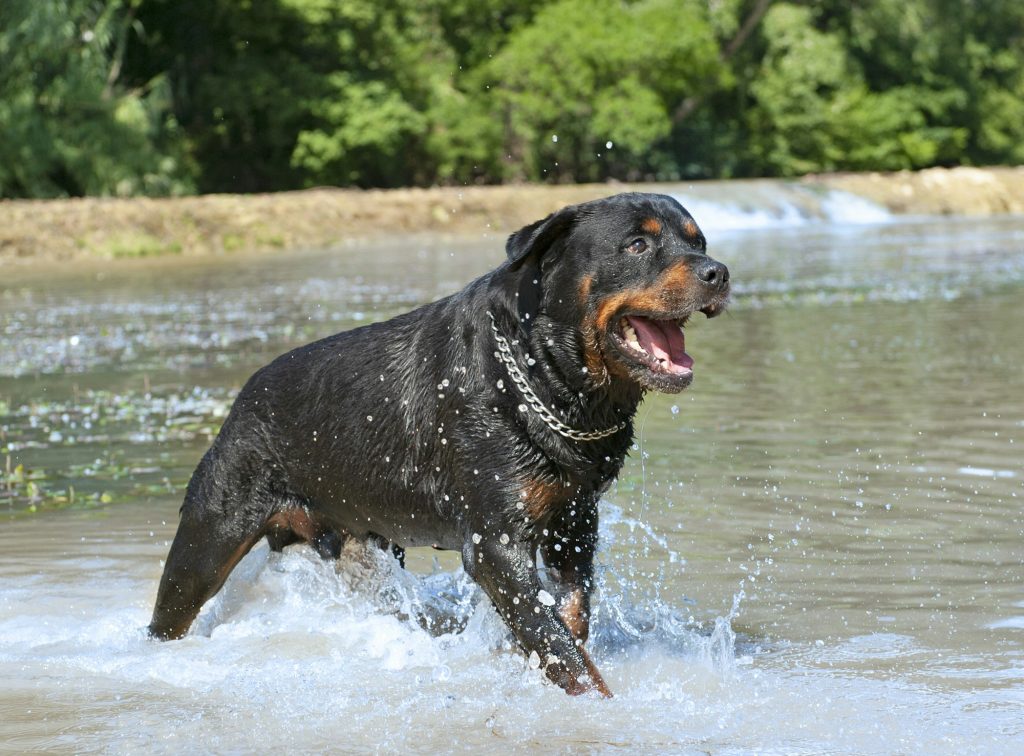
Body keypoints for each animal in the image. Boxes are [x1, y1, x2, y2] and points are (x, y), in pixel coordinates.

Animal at [149, 192, 729, 696]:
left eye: (698, 242)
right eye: (637, 244)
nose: (717, 272)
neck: (541, 380)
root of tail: (242, 398)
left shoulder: (575, 520)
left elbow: (569, 617)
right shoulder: (496, 542)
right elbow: (559, 647)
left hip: (362, 545)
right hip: (212, 533)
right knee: (171, 610)